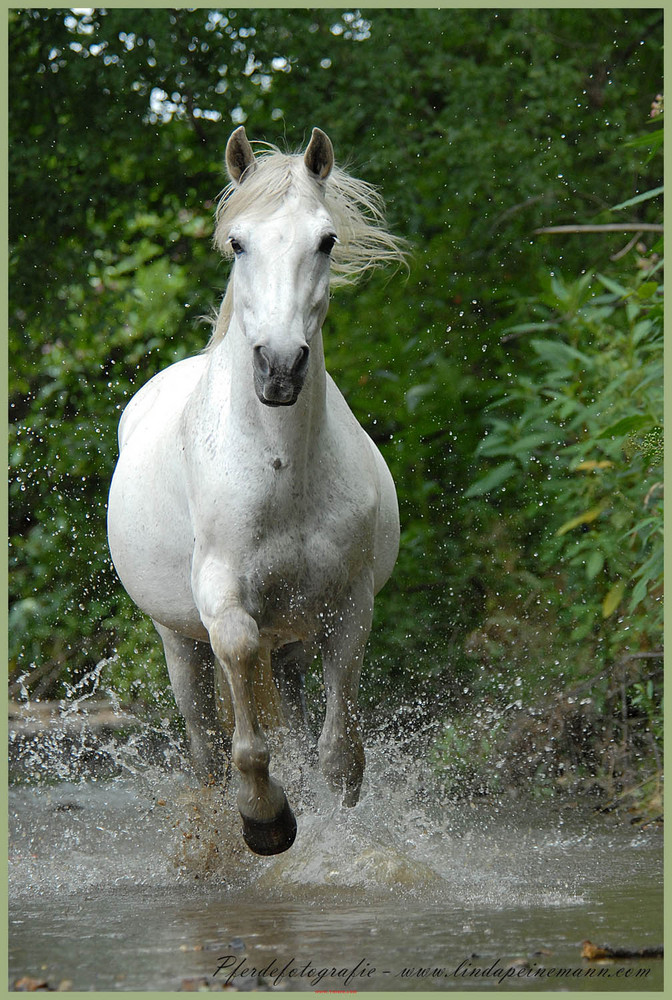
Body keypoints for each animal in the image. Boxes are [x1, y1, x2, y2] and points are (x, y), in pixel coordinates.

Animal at [107, 127, 406, 852]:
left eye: (326, 240)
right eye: (238, 243)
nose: (278, 367)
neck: (280, 472)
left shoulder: (347, 609)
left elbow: (338, 754)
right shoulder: (225, 607)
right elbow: (245, 724)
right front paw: (265, 820)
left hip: (292, 643)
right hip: (178, 640)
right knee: (206, 748)